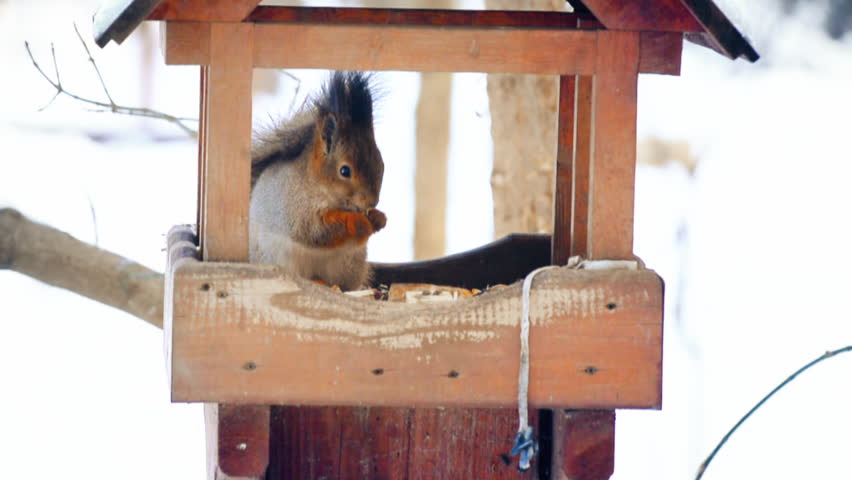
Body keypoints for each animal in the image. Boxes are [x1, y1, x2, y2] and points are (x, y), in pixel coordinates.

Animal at [249, 71, 386, 291]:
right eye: (344, 170)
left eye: (381, 164)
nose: (372, 202)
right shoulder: (294, 206)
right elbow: (315, 230)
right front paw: (357, 222)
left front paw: (378, 217)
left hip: (349, 265)